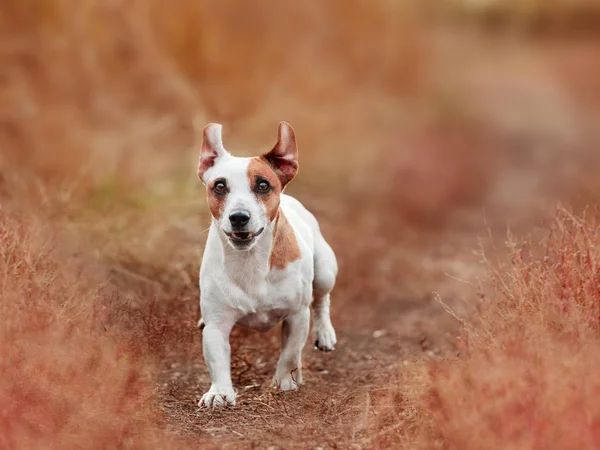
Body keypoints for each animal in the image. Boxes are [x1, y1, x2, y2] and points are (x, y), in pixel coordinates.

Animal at [197, 120, 338, 408]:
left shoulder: (297, 315)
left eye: (263, 185)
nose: (239, 217)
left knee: (321, 300)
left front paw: (285, 382)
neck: (250, 260)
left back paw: (325, 334)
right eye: (219, 186)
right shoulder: (217, 325)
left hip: (325, 271)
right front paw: (219, 392)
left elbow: (290, 353)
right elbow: (217, 359)